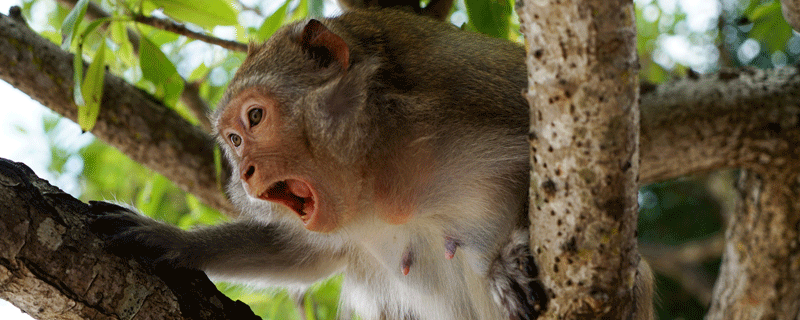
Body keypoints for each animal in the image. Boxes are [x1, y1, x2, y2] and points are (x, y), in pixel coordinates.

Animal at [89, 5, 648, 320]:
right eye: (233, 140)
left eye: (255, 118)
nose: (244, 173)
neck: (381, 169)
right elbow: (303, 255)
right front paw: (172, 241)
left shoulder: (479, 94)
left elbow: (589, 188)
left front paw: (509, 259)